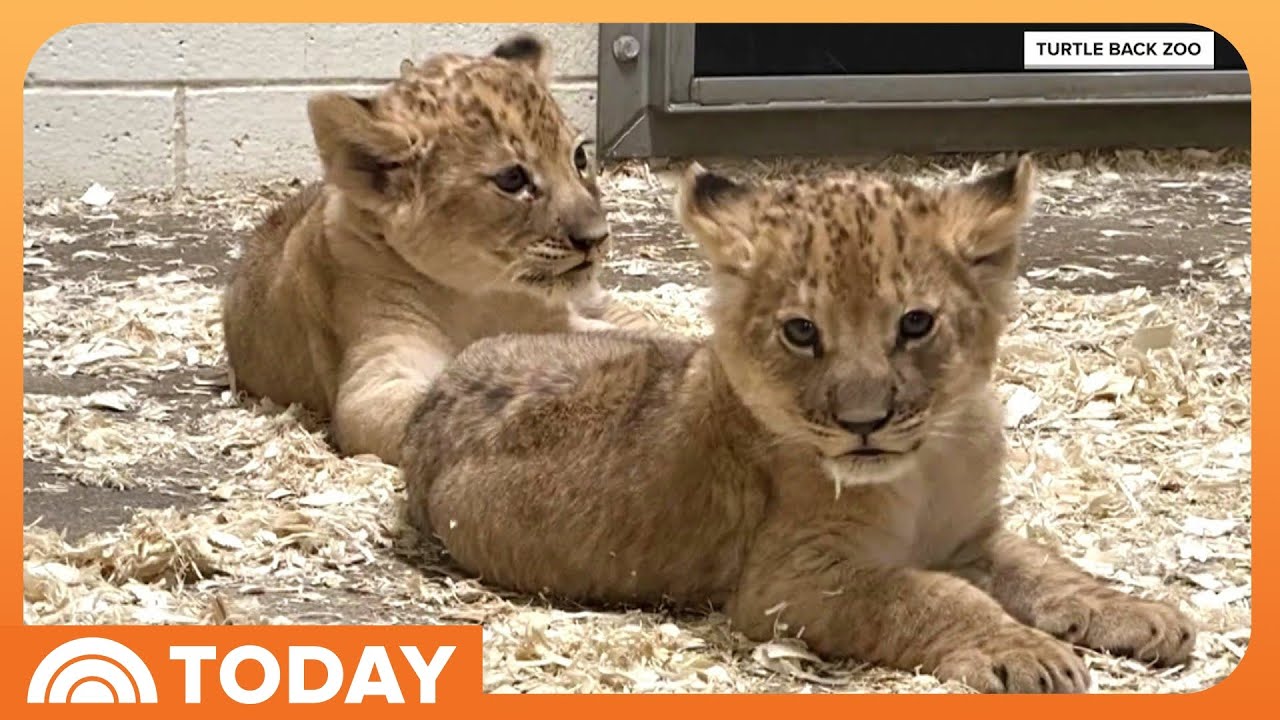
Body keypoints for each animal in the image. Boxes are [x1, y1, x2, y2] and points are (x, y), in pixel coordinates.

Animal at [221, 32, 650, 465]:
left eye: (578, 157)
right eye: (512, 179)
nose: (596, 237)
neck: (479, 294)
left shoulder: (560, 318)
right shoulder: (375, 376)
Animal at [398, 156, 1197, 693]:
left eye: (916, 323)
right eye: (801, 332)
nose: (864, 423)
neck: (928, 464)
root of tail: (442, 383)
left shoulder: (970, 537)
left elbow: (1045, 565)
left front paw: (1140, 612)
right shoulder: (789, 582)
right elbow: (926, 594)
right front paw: (1023, 652)